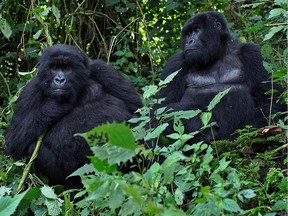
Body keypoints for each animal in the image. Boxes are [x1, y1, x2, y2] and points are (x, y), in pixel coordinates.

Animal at [5, 44, 142, 187]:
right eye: (54, 68)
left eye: (67, 68)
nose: (59, 80)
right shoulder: (31, 89)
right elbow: (14, 142)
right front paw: (54, 106)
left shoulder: (102, 70)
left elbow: (136, 112)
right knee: (33, 149)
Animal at [158, 11, 282, 143]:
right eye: (188, 34)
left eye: (196, 30)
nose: (189, 41)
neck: (217, 55)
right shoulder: (176, 63)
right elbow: (162, 108)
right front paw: (199, 124)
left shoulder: (253, 53)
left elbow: (269, 100)